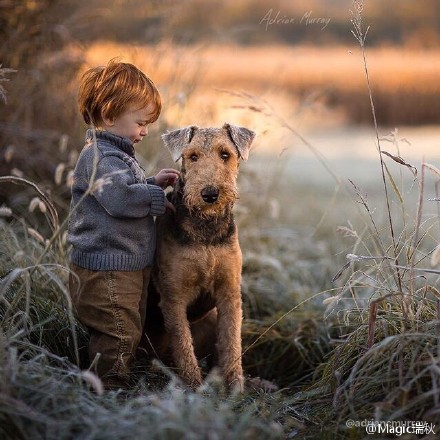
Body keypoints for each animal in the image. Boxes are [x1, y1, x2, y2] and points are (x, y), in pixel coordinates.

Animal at [144, 122, 254, 390]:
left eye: (225, 154)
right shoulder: (173, 297)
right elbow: (184, 347)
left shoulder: (229, 292)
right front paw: (193, 389)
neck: (206, 230)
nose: (210, 194)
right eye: (192, 156)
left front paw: (235, 388)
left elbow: (231, 343)